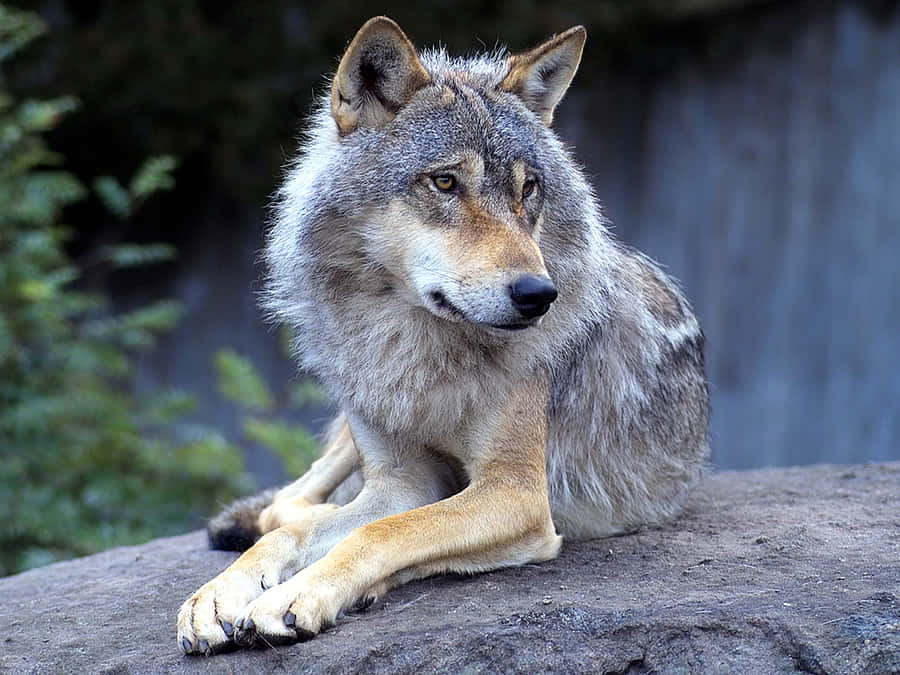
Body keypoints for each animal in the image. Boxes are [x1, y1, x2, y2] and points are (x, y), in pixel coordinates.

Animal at [176, 17, 712, 656]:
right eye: (446, 182)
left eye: (528, 189)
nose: (539, 294)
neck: (418, 347)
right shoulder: (401, 481)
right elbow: (310, 532)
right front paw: (221, 593)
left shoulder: (516, 496)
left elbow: (383, 533)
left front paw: (296, 595)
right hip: (350, 426)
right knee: (288, 505)